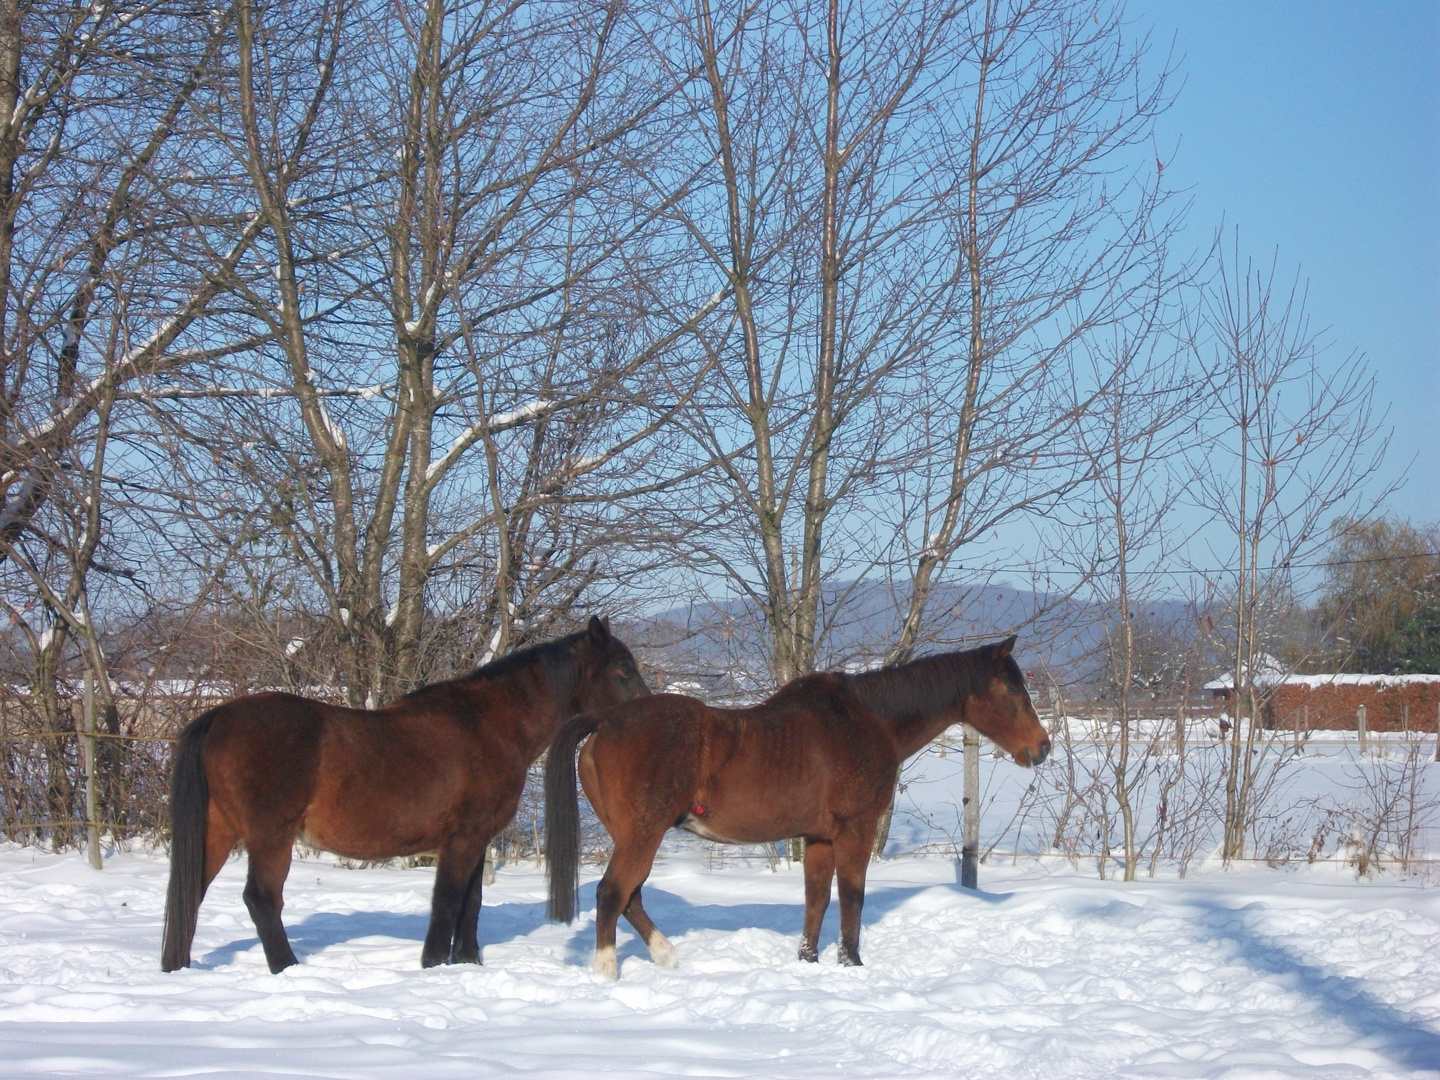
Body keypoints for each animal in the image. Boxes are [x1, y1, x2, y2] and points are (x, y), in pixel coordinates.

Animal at [162, 616, 648, 979]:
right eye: (623, 668)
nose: (649, 709)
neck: (489, 725)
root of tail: (219, 716)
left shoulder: (478, 841)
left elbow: (471, 905)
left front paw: (465, 962)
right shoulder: (462, 839)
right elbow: (447, 902)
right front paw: (432, 964)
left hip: (217, 833)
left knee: (191, 894)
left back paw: (177, 968)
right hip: (270, 839)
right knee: (262, 900)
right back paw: (287, 969)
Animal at [541, 633, 1048, 979]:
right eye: (1012, 691)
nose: (1042, 747)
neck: (868, 720)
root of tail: (604, 721)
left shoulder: (818, 836)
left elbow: (816, 899)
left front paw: (809, 960)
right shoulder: (856, 828)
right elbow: (852, 896)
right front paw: (852, 962)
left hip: (630, 835)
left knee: (631, 898)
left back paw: (665, 956)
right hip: (643, 834)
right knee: (613, 893)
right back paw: (608, 971)